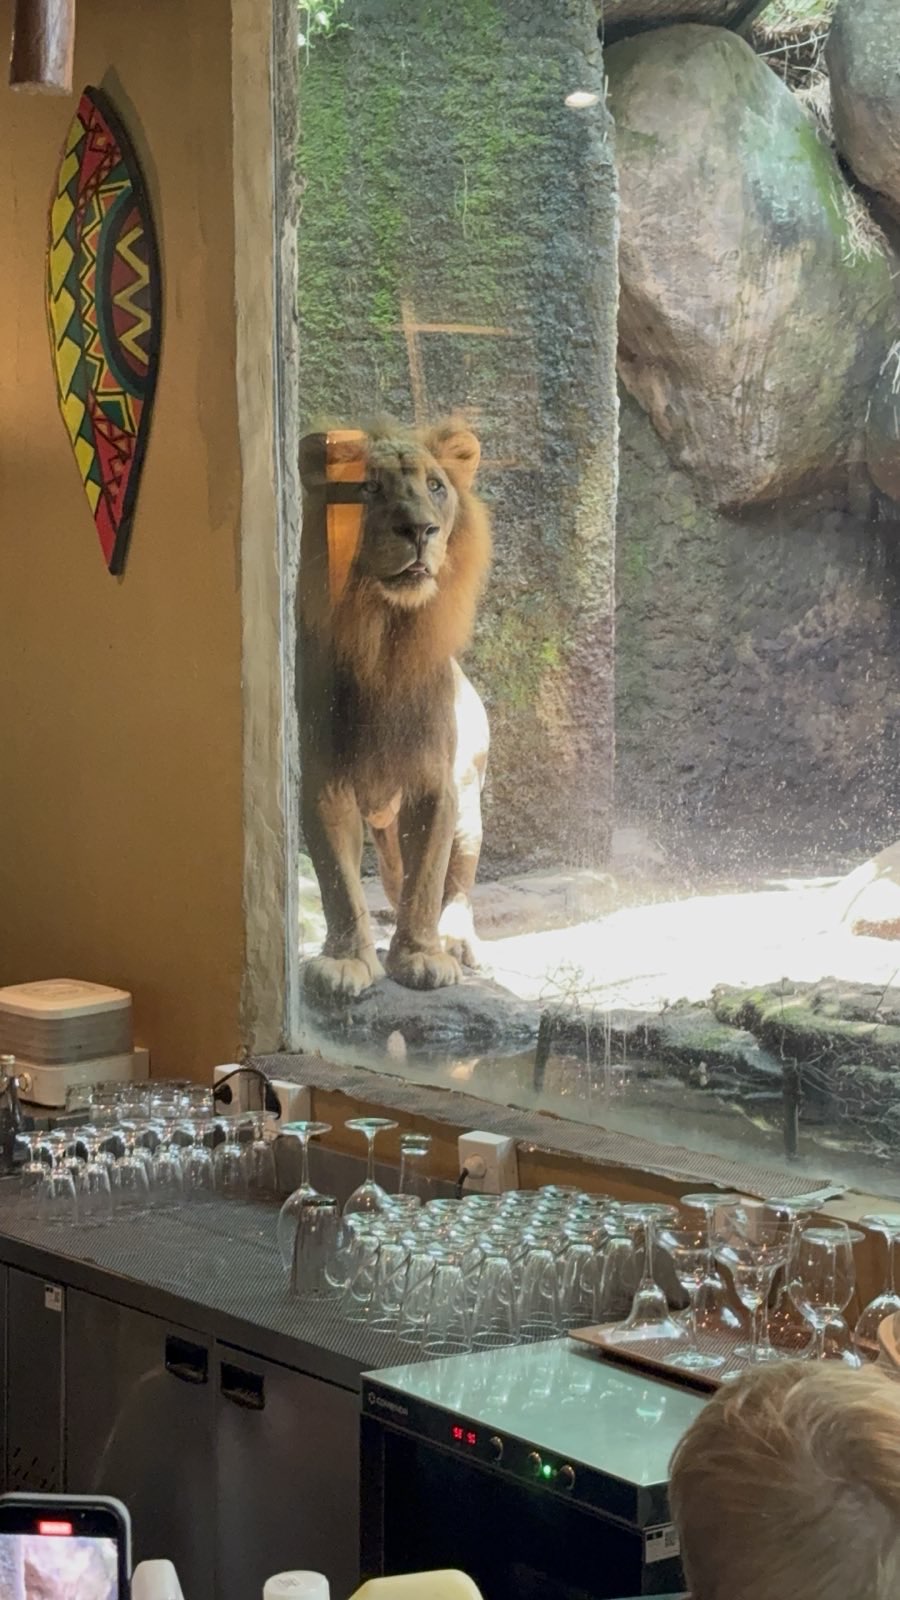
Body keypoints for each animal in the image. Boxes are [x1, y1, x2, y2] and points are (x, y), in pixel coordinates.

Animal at [297, 416, 492, 1000]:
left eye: (435, 487)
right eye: (368, 488)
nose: (419, 530)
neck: (383, 636)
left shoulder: (434, 783)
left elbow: (427, 880)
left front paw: (421, 957)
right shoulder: (325, 779)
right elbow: (337, 881)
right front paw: (345, 962)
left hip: (469, 807)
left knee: (457, 884)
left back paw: (456, 941)